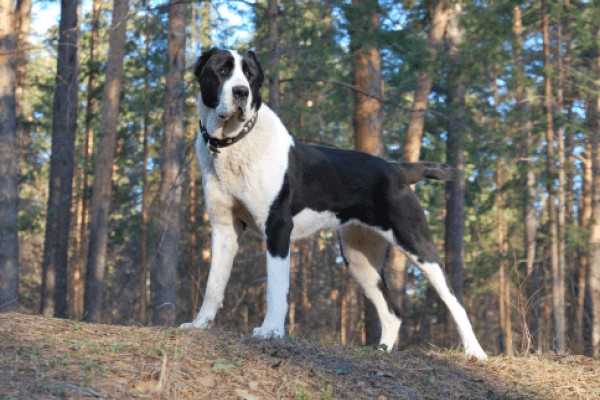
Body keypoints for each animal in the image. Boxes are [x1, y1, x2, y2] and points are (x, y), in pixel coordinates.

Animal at [179, 48, 488, 360]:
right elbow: (214, 282)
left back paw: (475, 352)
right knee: (392, 312)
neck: (232, 142)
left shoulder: (278, 227)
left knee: (453, 299)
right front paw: (200, 324)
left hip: (415, 242)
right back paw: (382, 351)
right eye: (221, 70)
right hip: (358, 256)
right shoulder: (224, 228)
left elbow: (276, 287)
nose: (241, 92)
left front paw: (271, 331)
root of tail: (397, 169)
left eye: (250, 75)